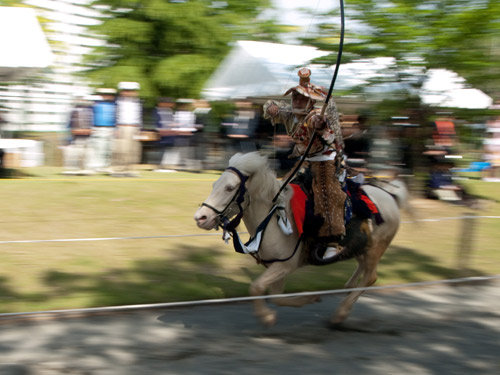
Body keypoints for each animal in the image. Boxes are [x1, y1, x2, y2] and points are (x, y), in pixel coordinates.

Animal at [193, 151, 408, 328]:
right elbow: (276, 296)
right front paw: (308, 299)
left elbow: (256, 287)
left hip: (376, 247)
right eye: (215, 184)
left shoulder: (285, 265)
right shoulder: (276, 266)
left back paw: (340, 314)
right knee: (363, 270)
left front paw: (267, 317)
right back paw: (347, 290)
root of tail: (390, 196)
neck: (272, 218)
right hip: (362, 247)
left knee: (371, 276)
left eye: (230, 188)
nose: (200, 217)